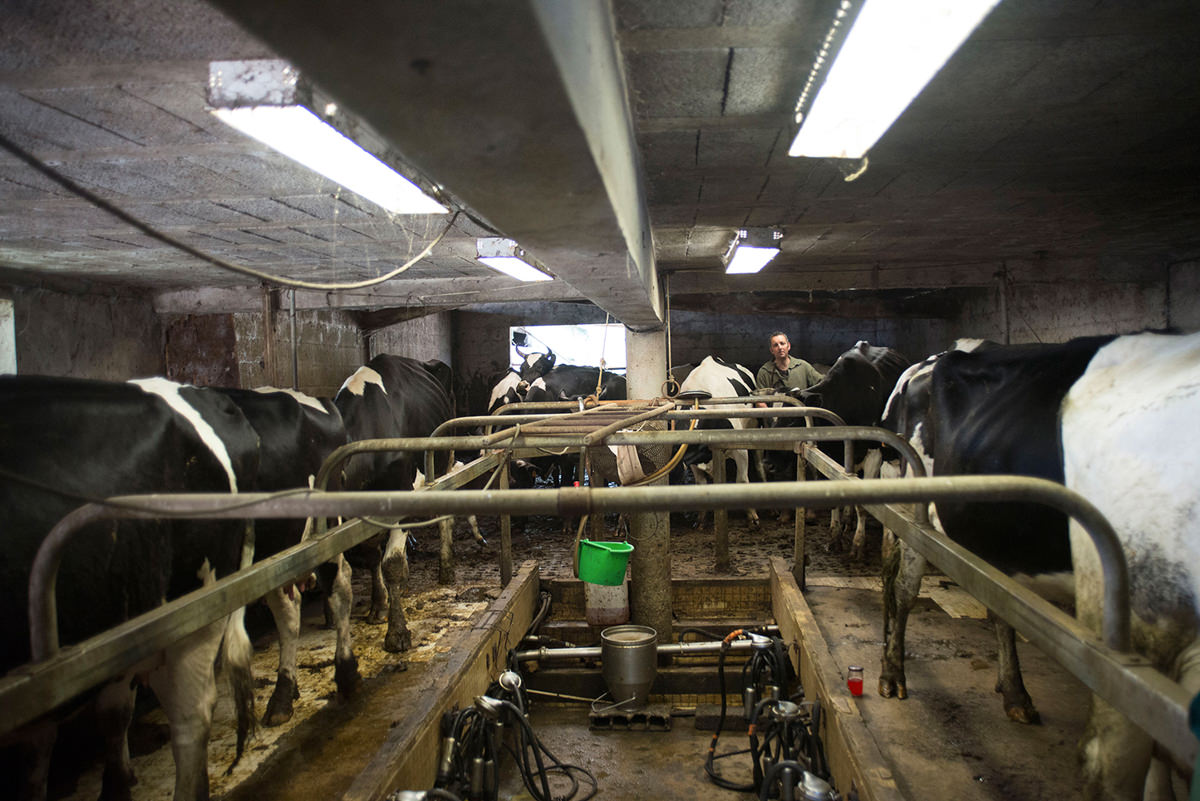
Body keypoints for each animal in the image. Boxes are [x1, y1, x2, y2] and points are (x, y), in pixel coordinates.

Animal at [333, 354, 453, 652]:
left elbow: (392, 564)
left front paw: (397, 633)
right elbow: (373, 556)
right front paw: (379, 605)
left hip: (443, 462)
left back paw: (446, 568)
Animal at [873, 330, 1200, 796]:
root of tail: (931, 359)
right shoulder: (1141, 627)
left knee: (996, 607)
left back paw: (1014, 693)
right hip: (913, 504)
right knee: (903, 589)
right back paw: (893, 673)